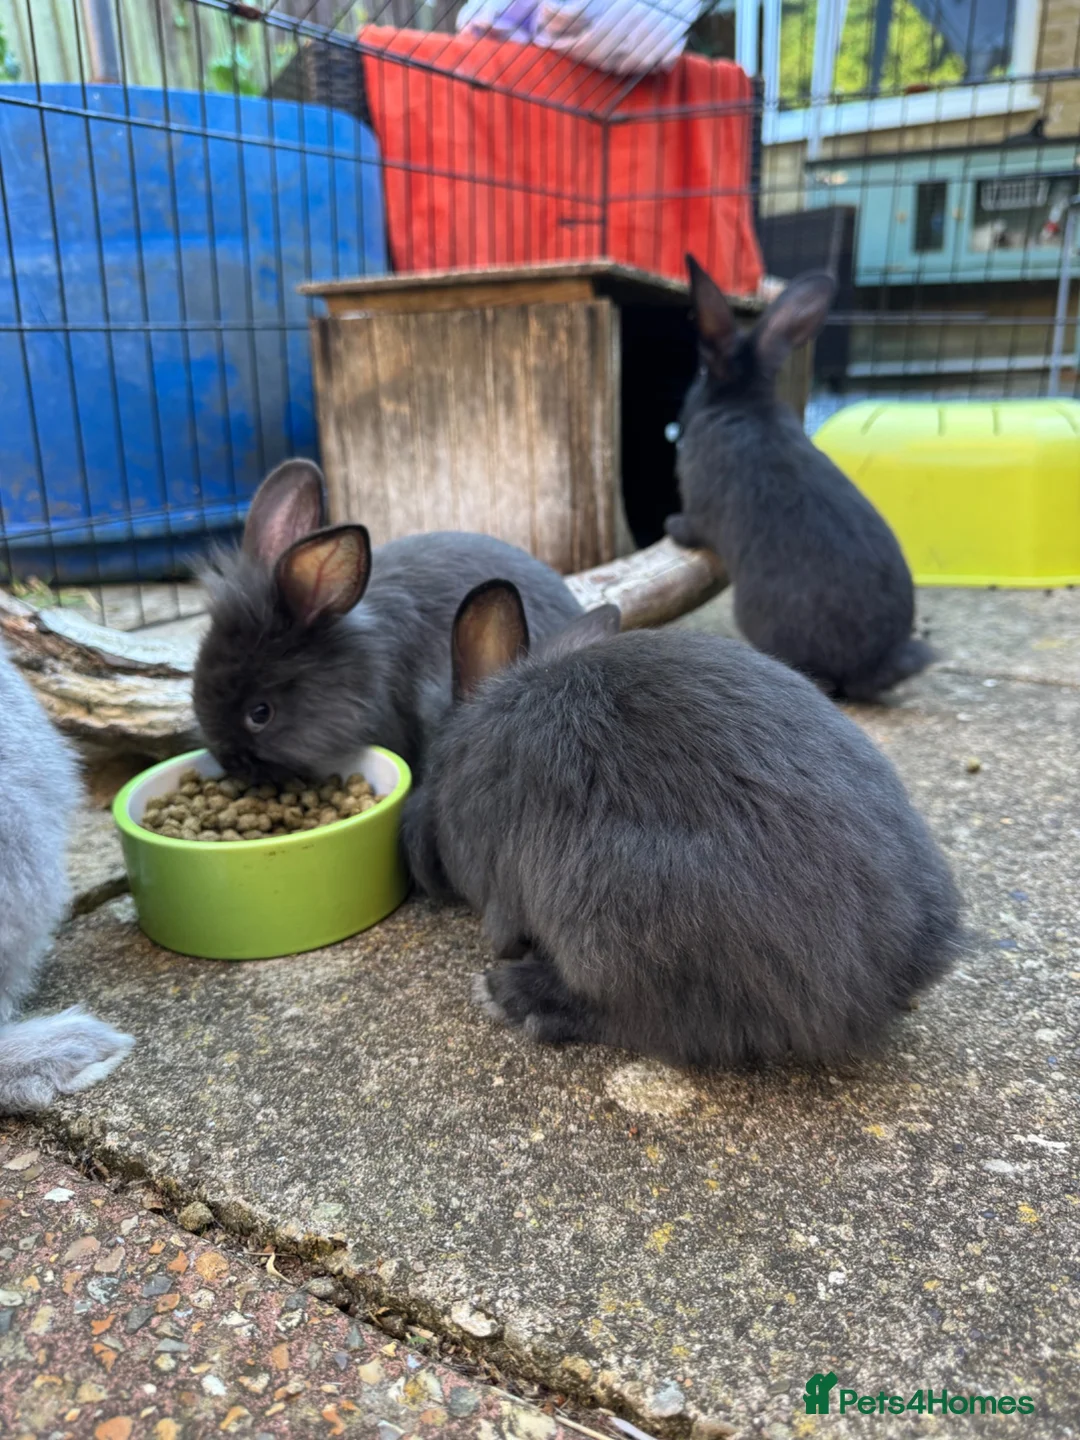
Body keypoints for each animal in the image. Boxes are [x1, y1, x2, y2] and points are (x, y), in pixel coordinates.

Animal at [664, 256, 934, 702]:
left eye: (701, 372)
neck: (744, 401)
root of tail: (873, 664)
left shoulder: (699, 508)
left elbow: (692, 528)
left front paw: (671, 526)